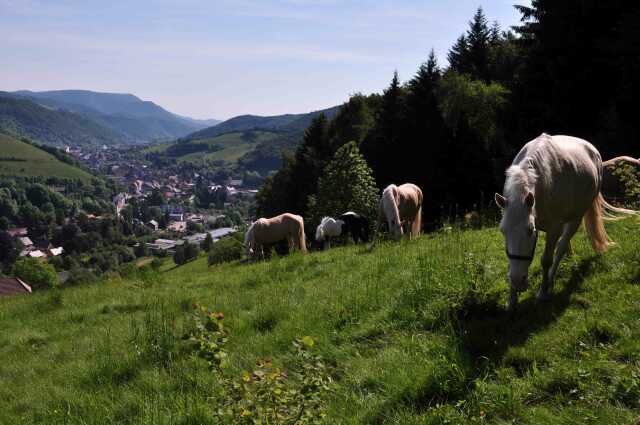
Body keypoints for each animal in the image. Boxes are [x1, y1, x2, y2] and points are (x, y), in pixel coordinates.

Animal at [496, 132, 636, 308]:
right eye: (503, 231)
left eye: (530, 231)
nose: (517, 281)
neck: (543, 180)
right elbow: (511, 261)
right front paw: (512, 300)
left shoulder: (553, 228)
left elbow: (547, 260)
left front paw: (542, 292)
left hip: (576, 218)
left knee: (561, 245)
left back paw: (551, 279)